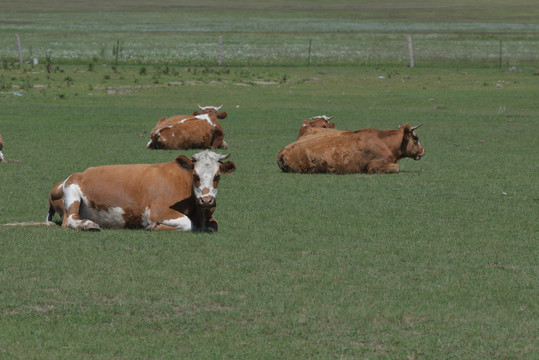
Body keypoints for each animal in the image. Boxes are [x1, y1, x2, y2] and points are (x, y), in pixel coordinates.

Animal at [47, 150, 237, 232]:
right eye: (195, 175)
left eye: (218, 176)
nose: (207, 200)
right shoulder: (157, 211)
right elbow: (187, 224)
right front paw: (153, 227)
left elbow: (214, 225)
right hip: (72, 192)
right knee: (71, 220)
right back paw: (89, 224)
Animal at [278, 124, 426, 174]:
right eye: (416, 138)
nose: (423, 151)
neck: (384, 141)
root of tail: (284, 151)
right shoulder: (376, 165)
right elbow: (396, 168)